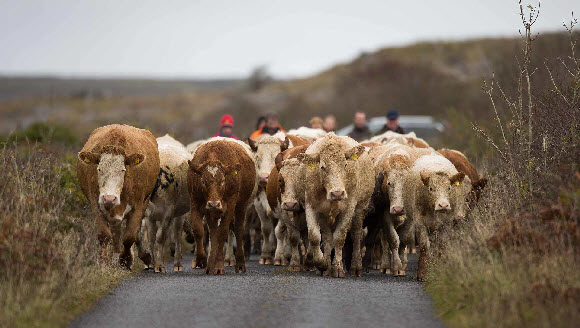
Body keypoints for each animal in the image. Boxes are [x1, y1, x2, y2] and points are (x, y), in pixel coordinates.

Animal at [77, 123, 160, 270]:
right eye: (99, 169)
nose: (109, 198)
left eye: (123, 170)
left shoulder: (138, 205)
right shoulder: (96, 204)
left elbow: (129, 236)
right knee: (116, 232)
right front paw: (104, 262)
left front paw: (126, 260)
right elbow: (104, 235)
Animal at [188, 138, 256, 274]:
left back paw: (240, 263)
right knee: (214, 232)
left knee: (238, 230)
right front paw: (202, 260)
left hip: (242, 206)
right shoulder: (196, 202)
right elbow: (199, 230)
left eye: (223, 181)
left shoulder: (230, 204)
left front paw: (219, 266)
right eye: (203, 181)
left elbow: (222, 233)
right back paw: (210, 265)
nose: (214, 204)